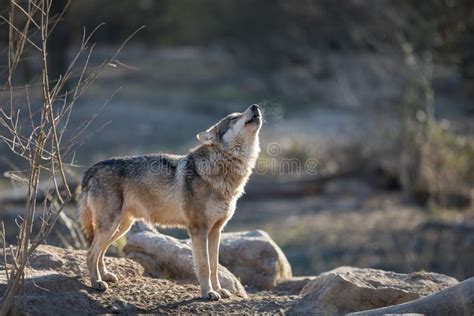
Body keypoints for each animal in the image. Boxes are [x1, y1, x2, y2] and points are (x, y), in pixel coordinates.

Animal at [79, 105, 262, 300]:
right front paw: (208, 293)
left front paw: (218, 290)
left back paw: (105, 276)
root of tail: (92, 168)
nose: (255, 106)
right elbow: (204, 266)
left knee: (100, 252)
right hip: (110, 227)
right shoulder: (198, 230)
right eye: (234, 118)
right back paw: (96, 283)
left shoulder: (215, 231)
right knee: (91, 254)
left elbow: (214, 267)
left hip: (120, 228)